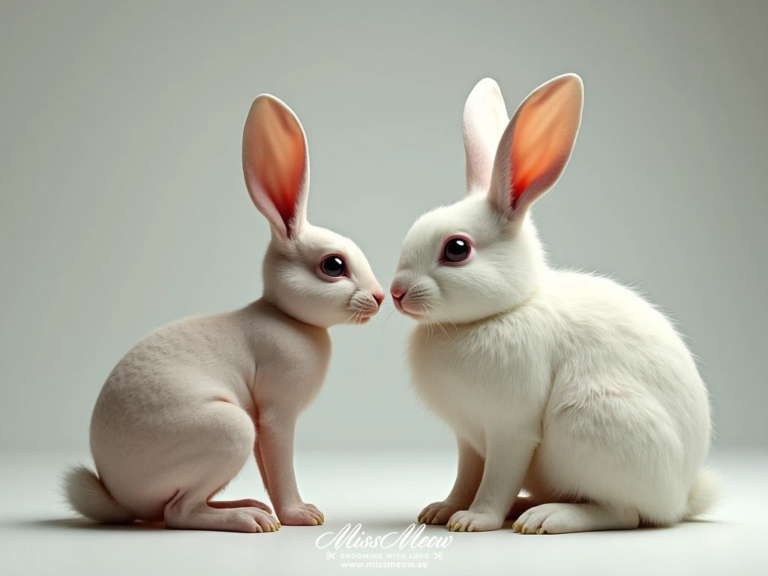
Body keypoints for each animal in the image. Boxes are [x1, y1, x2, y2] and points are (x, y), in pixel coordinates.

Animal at [64, 94, 384, 532]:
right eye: (333, 266)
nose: (381, 297)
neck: (286, 317)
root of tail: (118, 497)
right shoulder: (275, 416)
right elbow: (281, 469)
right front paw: (300, 515)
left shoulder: (265, 425)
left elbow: (269, 471)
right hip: (230, 431)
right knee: (177, 513)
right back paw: (251, 519)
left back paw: (249, 506)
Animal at [390, 74, 716, 534]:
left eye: (457, 249)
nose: (396, 291)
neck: (501, 312)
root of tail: (680, 498)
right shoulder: (469, 439)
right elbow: (465, 477)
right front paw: (442, 511)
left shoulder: (511, 429)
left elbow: (495, 480)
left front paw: (474, 520)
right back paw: (523, 506)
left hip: (591, 423)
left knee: (625, 512)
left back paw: (544, 518)